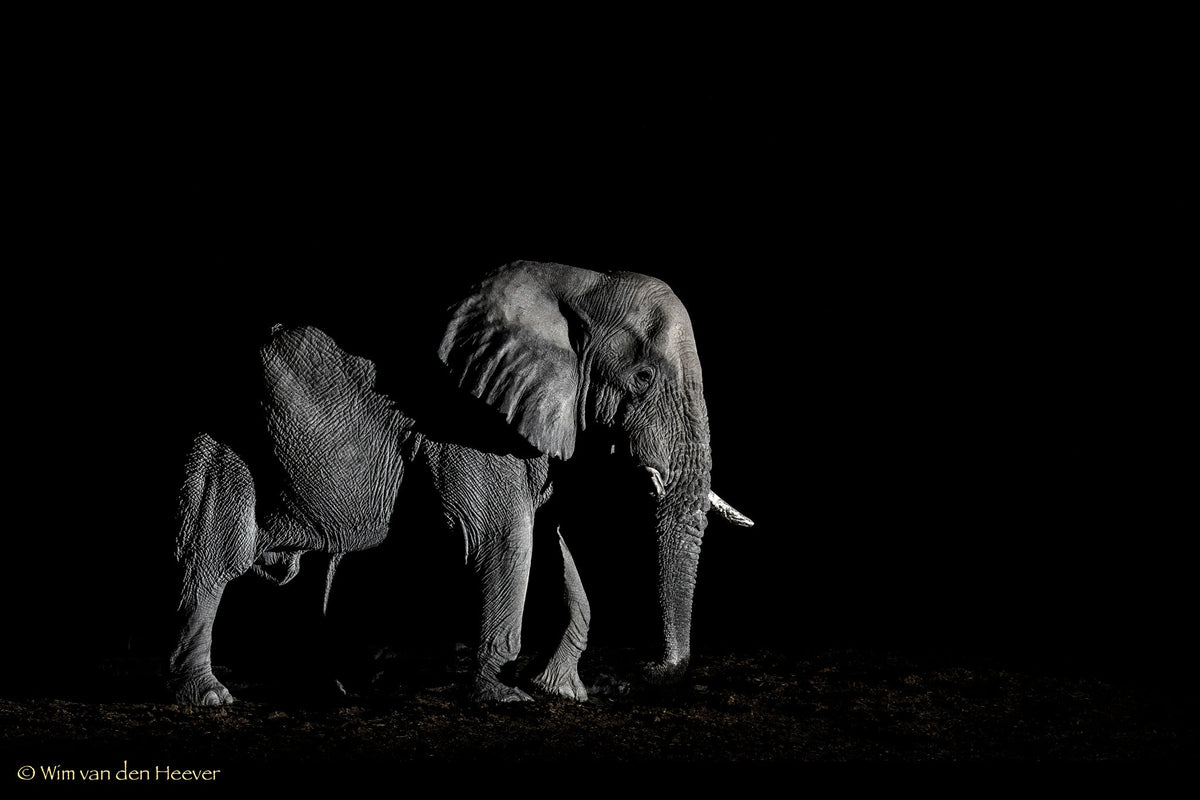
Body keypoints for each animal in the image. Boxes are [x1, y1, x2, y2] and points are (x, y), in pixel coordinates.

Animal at [167, 260, 753, 706]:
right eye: (643, 378)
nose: (645, 673)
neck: (577, 288)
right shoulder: (464, 417)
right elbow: (502, 536)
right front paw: (506, 698)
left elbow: (557, 542)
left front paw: (563, 694)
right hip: (225, 425)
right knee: (217, 553)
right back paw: (209, 697)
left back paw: (333, 691)